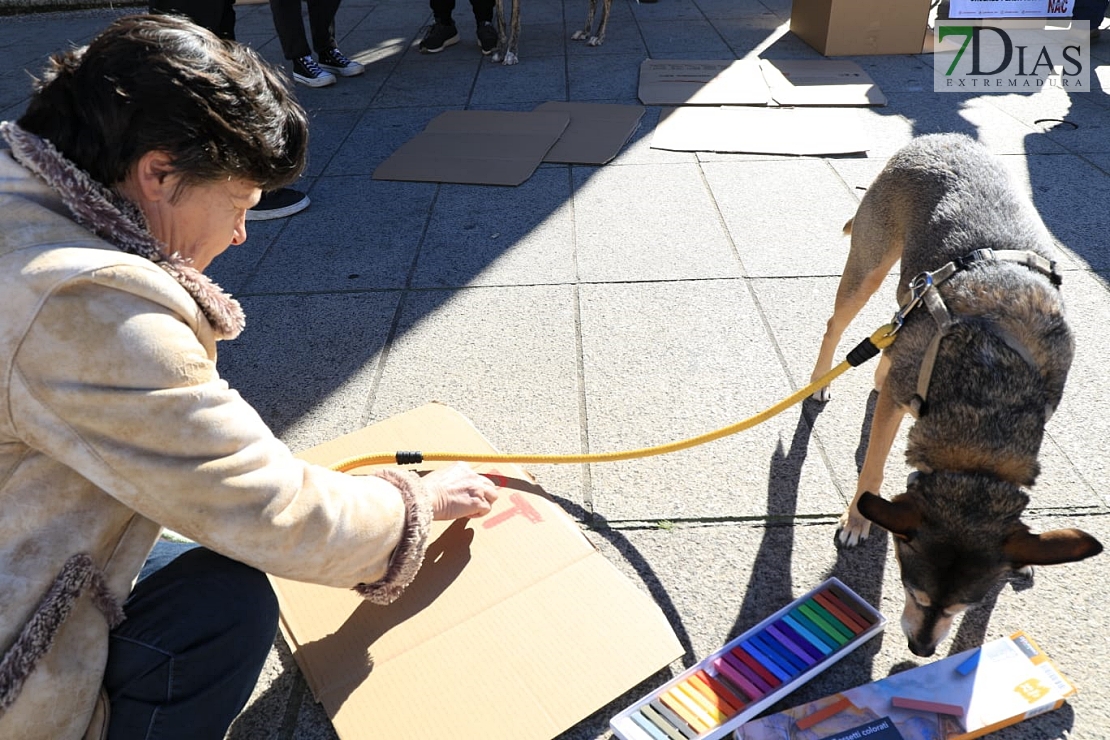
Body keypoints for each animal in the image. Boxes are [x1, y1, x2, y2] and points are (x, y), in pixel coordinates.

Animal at [808, 131, 1101, 652]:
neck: (991, 393)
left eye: (966, 605)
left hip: (912, 290)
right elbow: (874, 467)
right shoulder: (897, 405)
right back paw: (819, 383)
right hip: (869, 262)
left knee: (897, 324)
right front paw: (858, 519)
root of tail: (941, 137)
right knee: (837, 323)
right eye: (914, 593)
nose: (922, 649)